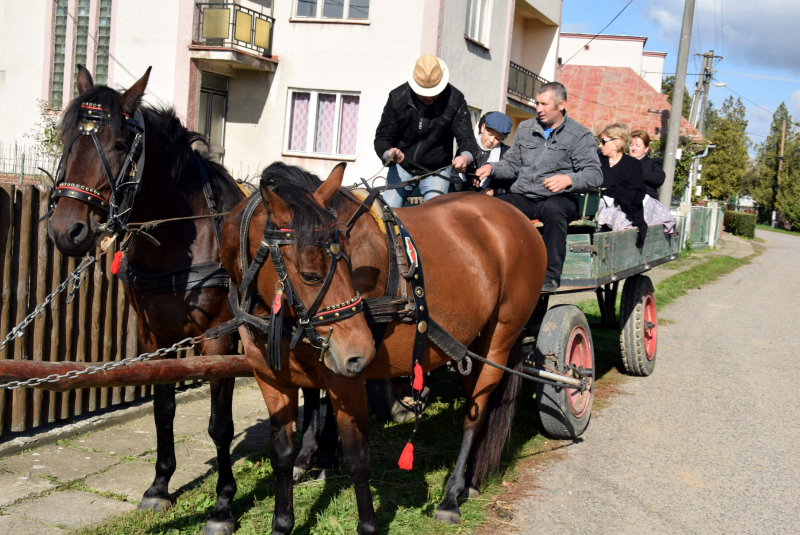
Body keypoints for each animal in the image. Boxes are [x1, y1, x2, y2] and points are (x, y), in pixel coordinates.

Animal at [47, 68, 244, 535]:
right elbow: (163, 409)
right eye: (66, 138)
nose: (66, 230)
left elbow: (220, 426)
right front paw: (159, 487)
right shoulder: (155, 336)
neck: (179, 233)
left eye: (120, 144)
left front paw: (222, 506)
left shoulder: (220, 339)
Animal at [219, 161, 548, 532]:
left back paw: (451, 495)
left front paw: (368, 525)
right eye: (310, 275)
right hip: (467, 343)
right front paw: (282, 523)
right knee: (481, 403)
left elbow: (358, 460)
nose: (358, 352)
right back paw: (471, 481)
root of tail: (518, 219)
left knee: (475, 415)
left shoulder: (345, 382)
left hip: (500, 338)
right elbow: (282, 457)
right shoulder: (272, 381)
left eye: (348, 258)